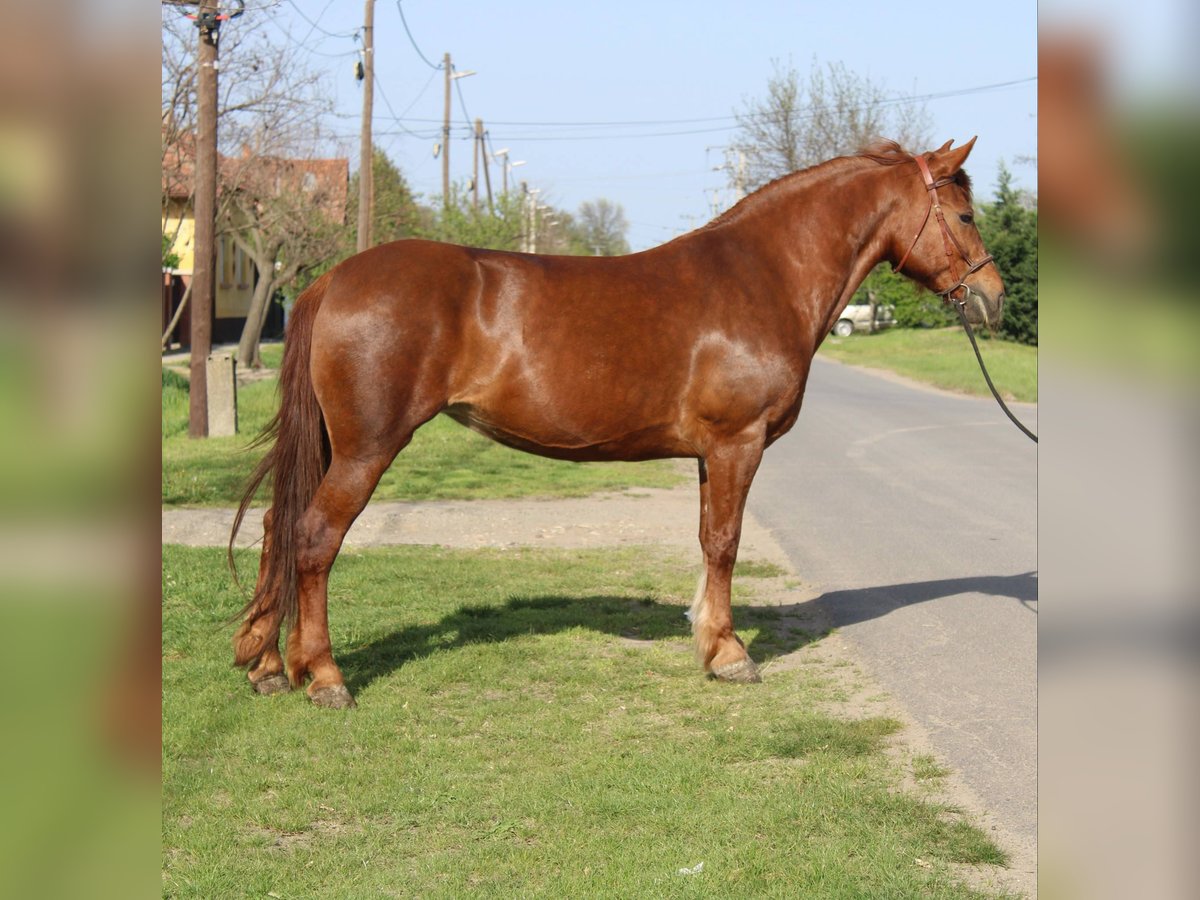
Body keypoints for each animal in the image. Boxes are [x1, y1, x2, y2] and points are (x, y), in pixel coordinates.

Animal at [230, 138, 1006, 709]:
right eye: (966, 216)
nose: (994, 298)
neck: (763, 275)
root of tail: (334, 279)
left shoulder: (710, 454)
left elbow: (709, 542)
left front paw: (708, 641)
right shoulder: (739, 444)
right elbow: (726, 543)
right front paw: (731, 656)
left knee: (278, 526)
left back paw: (266, 665)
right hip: (367, 448)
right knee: (315, 537)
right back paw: (325, 678)